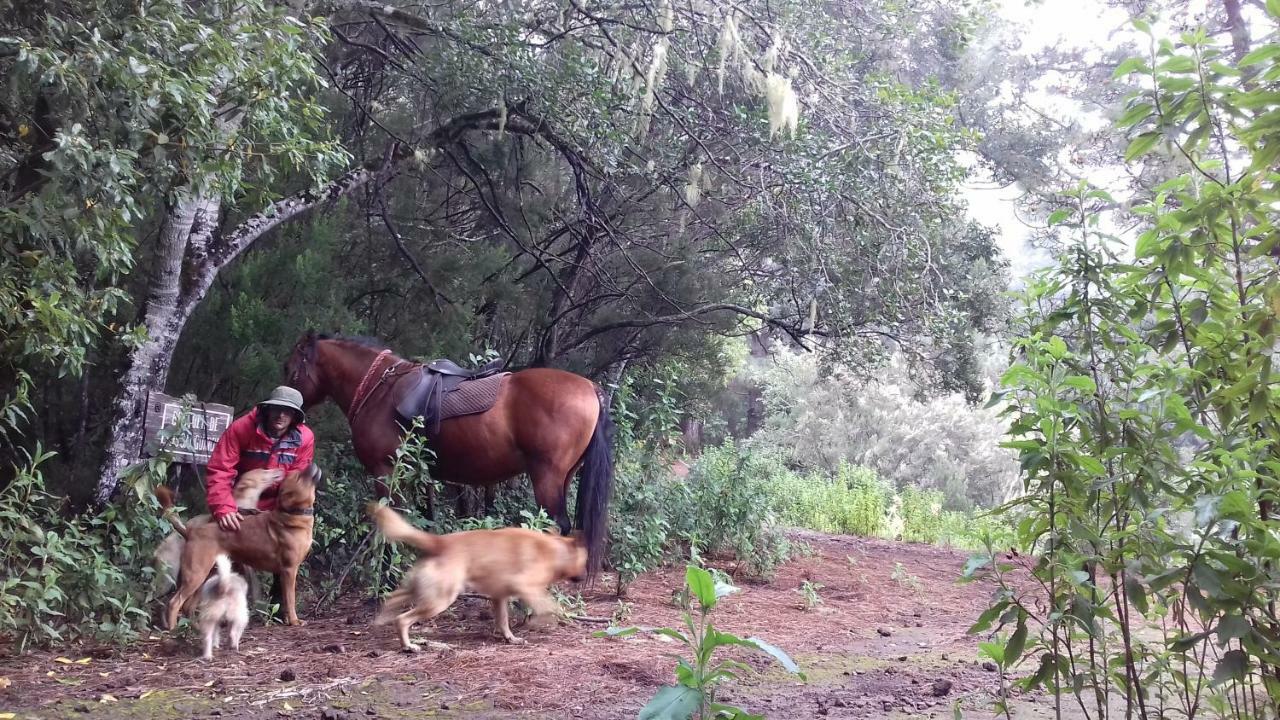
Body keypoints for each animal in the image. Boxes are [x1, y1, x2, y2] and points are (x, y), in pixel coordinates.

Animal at [163, 466, 322, 627]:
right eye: (298, 477)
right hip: (195, 575)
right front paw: (294, 620)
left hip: (206, 575)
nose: (312, 465)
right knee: (174, 602)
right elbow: (290, 599)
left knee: (188, 605)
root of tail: (190, 532)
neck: (292, 515)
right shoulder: (289, 570)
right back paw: (173, 628)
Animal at [285, 330, 614, 571]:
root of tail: (591, 388)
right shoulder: (417, 476)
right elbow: (423, 521)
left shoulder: (385, 473)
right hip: (564, 477)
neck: (379, 391)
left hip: (546, 477)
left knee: (557, 527)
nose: (290, 416)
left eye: (291, 370)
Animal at [368, 499, 586, 650]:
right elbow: (550, 607)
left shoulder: (499, 597)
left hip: (419, 591)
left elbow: (503, 621)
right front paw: (549, 620)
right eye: (585, 562)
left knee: (392, 599)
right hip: (439, 601)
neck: (555, 551)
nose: (584, 577)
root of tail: (440, 542)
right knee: (402, 619)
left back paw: (381, 619)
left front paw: (511, 638)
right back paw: (408, 645)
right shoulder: (524, 586)